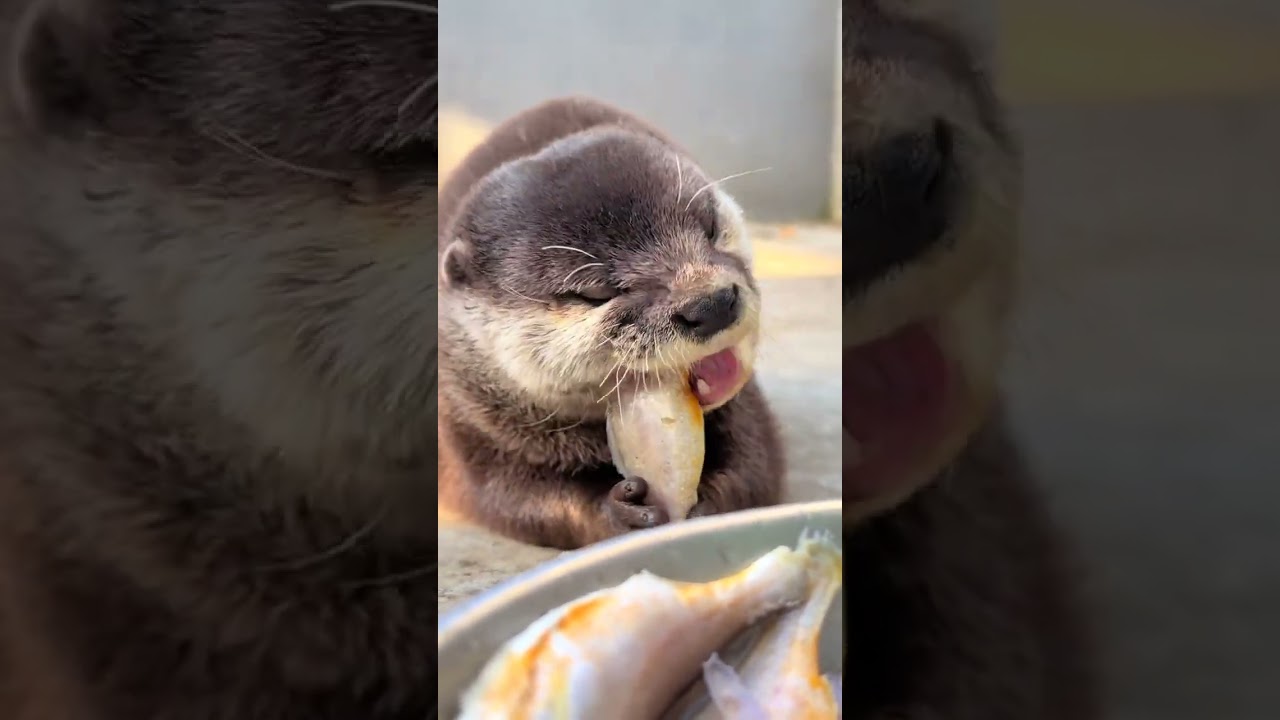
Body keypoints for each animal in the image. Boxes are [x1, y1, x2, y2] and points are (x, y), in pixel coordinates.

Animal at [437, 96, 784, 550]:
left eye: (710, 227)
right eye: (595, 292)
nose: (710, 303)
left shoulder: (745, 407)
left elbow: (757, 460)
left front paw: (712, 504)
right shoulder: (465, 422)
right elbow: (513, 497)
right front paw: (618, 512)